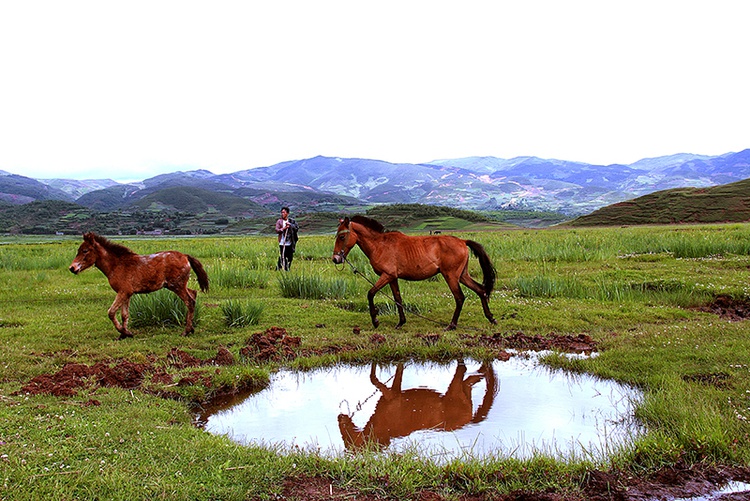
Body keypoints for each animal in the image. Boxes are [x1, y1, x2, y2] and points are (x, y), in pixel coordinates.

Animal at [69, 232, 210, 338]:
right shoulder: (126, 293)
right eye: (78, 250)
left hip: (177, 286)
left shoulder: (124, 292)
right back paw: (191, 328)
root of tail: (185, 256)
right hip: (178, 286)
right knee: (193, 293)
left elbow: (111, 312)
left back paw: (186, 331)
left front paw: (126, 332)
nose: (72, 268)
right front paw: (124, 335)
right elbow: (124, 315)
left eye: (85, 251)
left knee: (189, 301)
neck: (117, 265)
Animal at [334, 215, 500, 328]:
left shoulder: (386, 276)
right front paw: (401, 322)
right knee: (480, 290)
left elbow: (371, 293)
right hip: (462, 275)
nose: (335, 258)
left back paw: (452, 325)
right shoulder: (393, 278)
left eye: (342, 236)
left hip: (451, 276)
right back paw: (491, 318)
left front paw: (375, 320)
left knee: (460, 297)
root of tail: (462, 241)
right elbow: (398, 299)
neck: (380, 245)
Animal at [340, 360, 500, 450]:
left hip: (455, 388)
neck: (382, 426)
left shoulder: (391, 394)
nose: (340, 418)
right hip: (463, 389)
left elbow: (373, 378)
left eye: (348, 440)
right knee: (472, 377)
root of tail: (467, 420)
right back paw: (485, 370)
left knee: (463, 369)